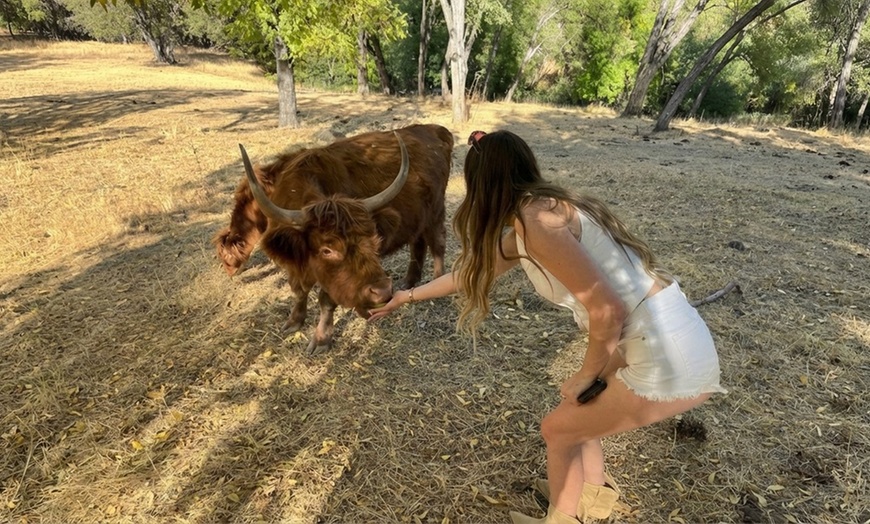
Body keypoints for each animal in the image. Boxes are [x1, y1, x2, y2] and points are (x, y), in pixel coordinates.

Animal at [222, 124, 454, 353]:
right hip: (418, 218)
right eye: (327, 249)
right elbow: (299, 290)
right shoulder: (293, 261)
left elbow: (325, 301)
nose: (382, 292)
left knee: (438, 243)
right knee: (418, 243)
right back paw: (409, 281)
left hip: (436, 212)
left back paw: (437, 280)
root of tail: (437, 129)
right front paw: (294, 322)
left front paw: (321, 339)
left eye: (374, 241)